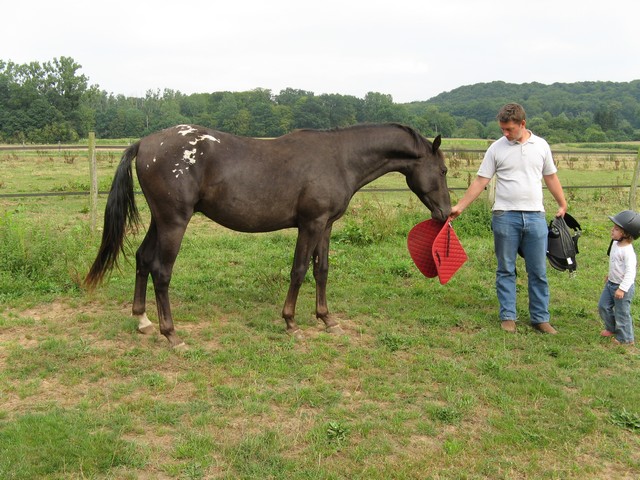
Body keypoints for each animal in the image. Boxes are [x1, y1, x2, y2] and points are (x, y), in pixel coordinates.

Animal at [85, 123, 451, 348]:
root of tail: (145, 143)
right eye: (444, 170)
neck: (338, 157)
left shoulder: (326, 225)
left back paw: (143, 320)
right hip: (174, 222)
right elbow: (299, 271)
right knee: (161, 271)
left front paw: (327, 319)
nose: (446, 212)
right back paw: (171, 334)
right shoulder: (311, 224)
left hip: (159, 221)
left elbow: (322, 270)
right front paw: (291, 323)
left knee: (143, 259)